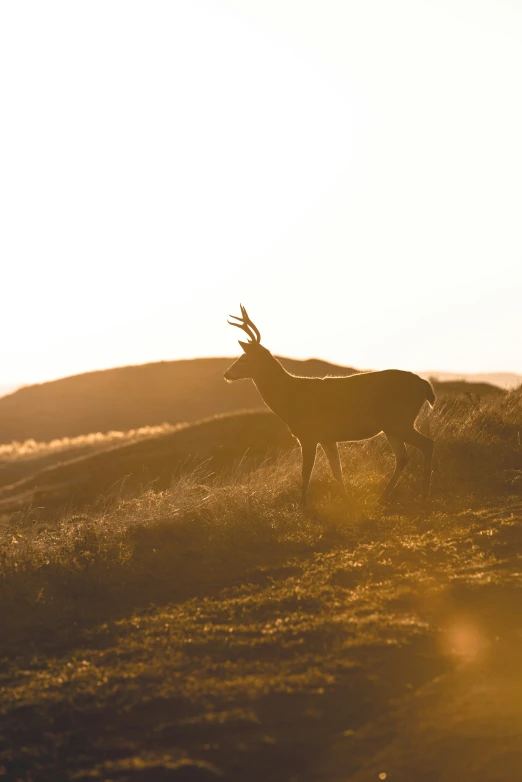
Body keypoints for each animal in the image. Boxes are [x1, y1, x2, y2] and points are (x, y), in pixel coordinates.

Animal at [224, 304, 434, 512]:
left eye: (244, 358)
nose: (227, 373)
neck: (290, 398)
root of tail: (425, 385)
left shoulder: (309, 435)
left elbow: (306, 471)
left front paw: (303, 505)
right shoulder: (327, 438)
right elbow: (336, 471)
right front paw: (348, 502)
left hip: (400, 420)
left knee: (427, 444)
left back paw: (423, 495)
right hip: (392, 426)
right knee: (403, 457)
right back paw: (383, 497)